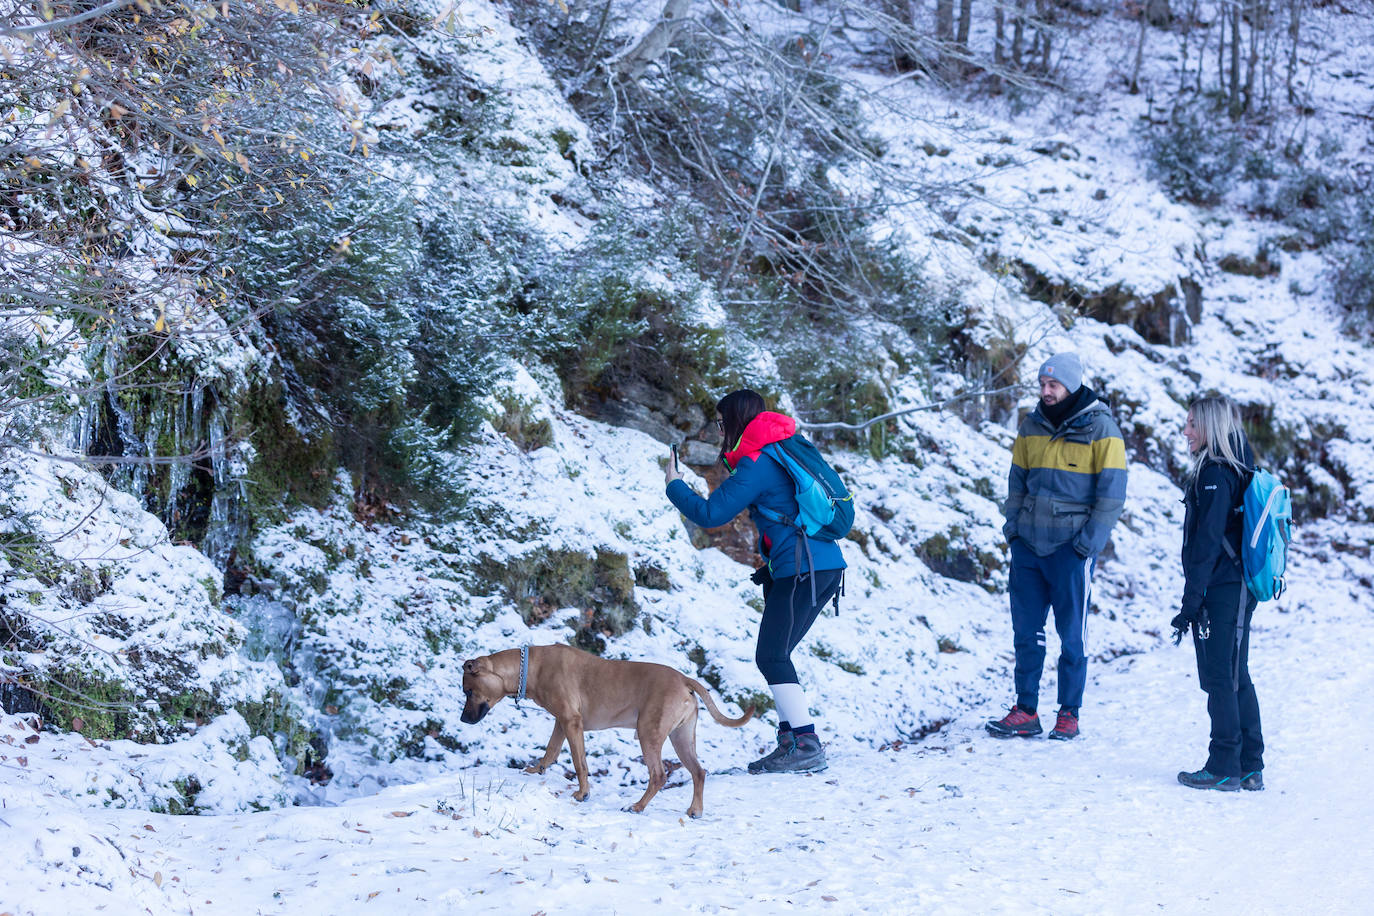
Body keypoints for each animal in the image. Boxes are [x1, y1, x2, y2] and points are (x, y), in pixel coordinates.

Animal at [467, 645, 758, 818]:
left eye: (468, 691)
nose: (463, 718)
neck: (531, 667)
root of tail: (684, 679)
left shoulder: (571, 722)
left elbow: (580, 763)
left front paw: (582, 794)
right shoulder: (561, 722)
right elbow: (550, 751)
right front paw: (535, 770)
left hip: (648, 732)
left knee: (659, 776)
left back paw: (637, 806)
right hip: (682, 737)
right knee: (699, 772)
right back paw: (695, 809)